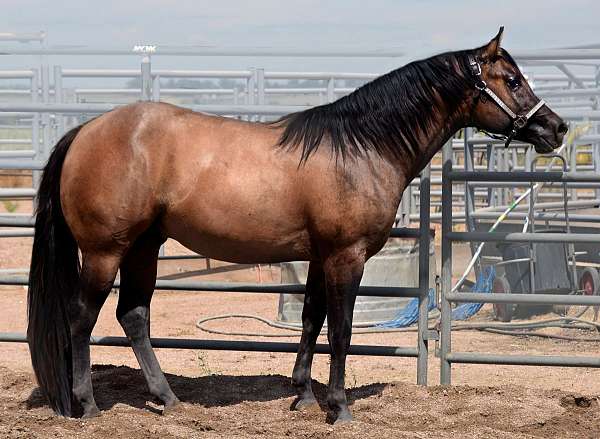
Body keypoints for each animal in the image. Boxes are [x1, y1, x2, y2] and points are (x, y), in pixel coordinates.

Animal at [25, 26, 564, 422]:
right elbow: (341, 330)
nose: (555, 128)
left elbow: (310, 320)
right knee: (81, 318)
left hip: (143, 248)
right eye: (512, 80)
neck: (360, 148)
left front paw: (304, 397)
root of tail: (84, 132)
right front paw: (339, 408)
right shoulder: (346, 257)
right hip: (105, 252)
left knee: (134, 316)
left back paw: (170, 400)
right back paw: (87, 405)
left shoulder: (320, 257)